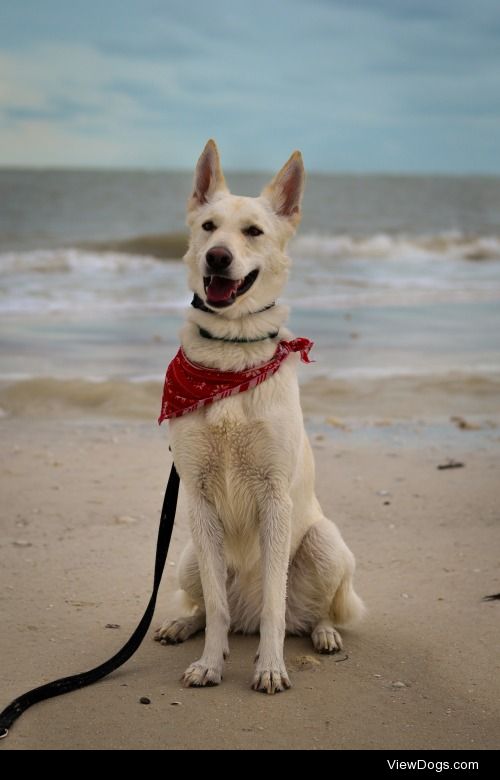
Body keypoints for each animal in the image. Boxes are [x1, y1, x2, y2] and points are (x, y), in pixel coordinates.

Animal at [156, 140, 364, 696]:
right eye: (209, 227)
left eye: (253, 231)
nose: (218, 256)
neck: (230, 360)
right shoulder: (198, 498)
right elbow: (215, 606)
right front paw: (210, 663)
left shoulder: (274, 498)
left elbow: (275, 600)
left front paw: (270, 666)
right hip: (186, 554)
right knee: (214, 608)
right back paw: (183, 624)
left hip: (325, 542)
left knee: (302, 613)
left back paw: (324, 634)